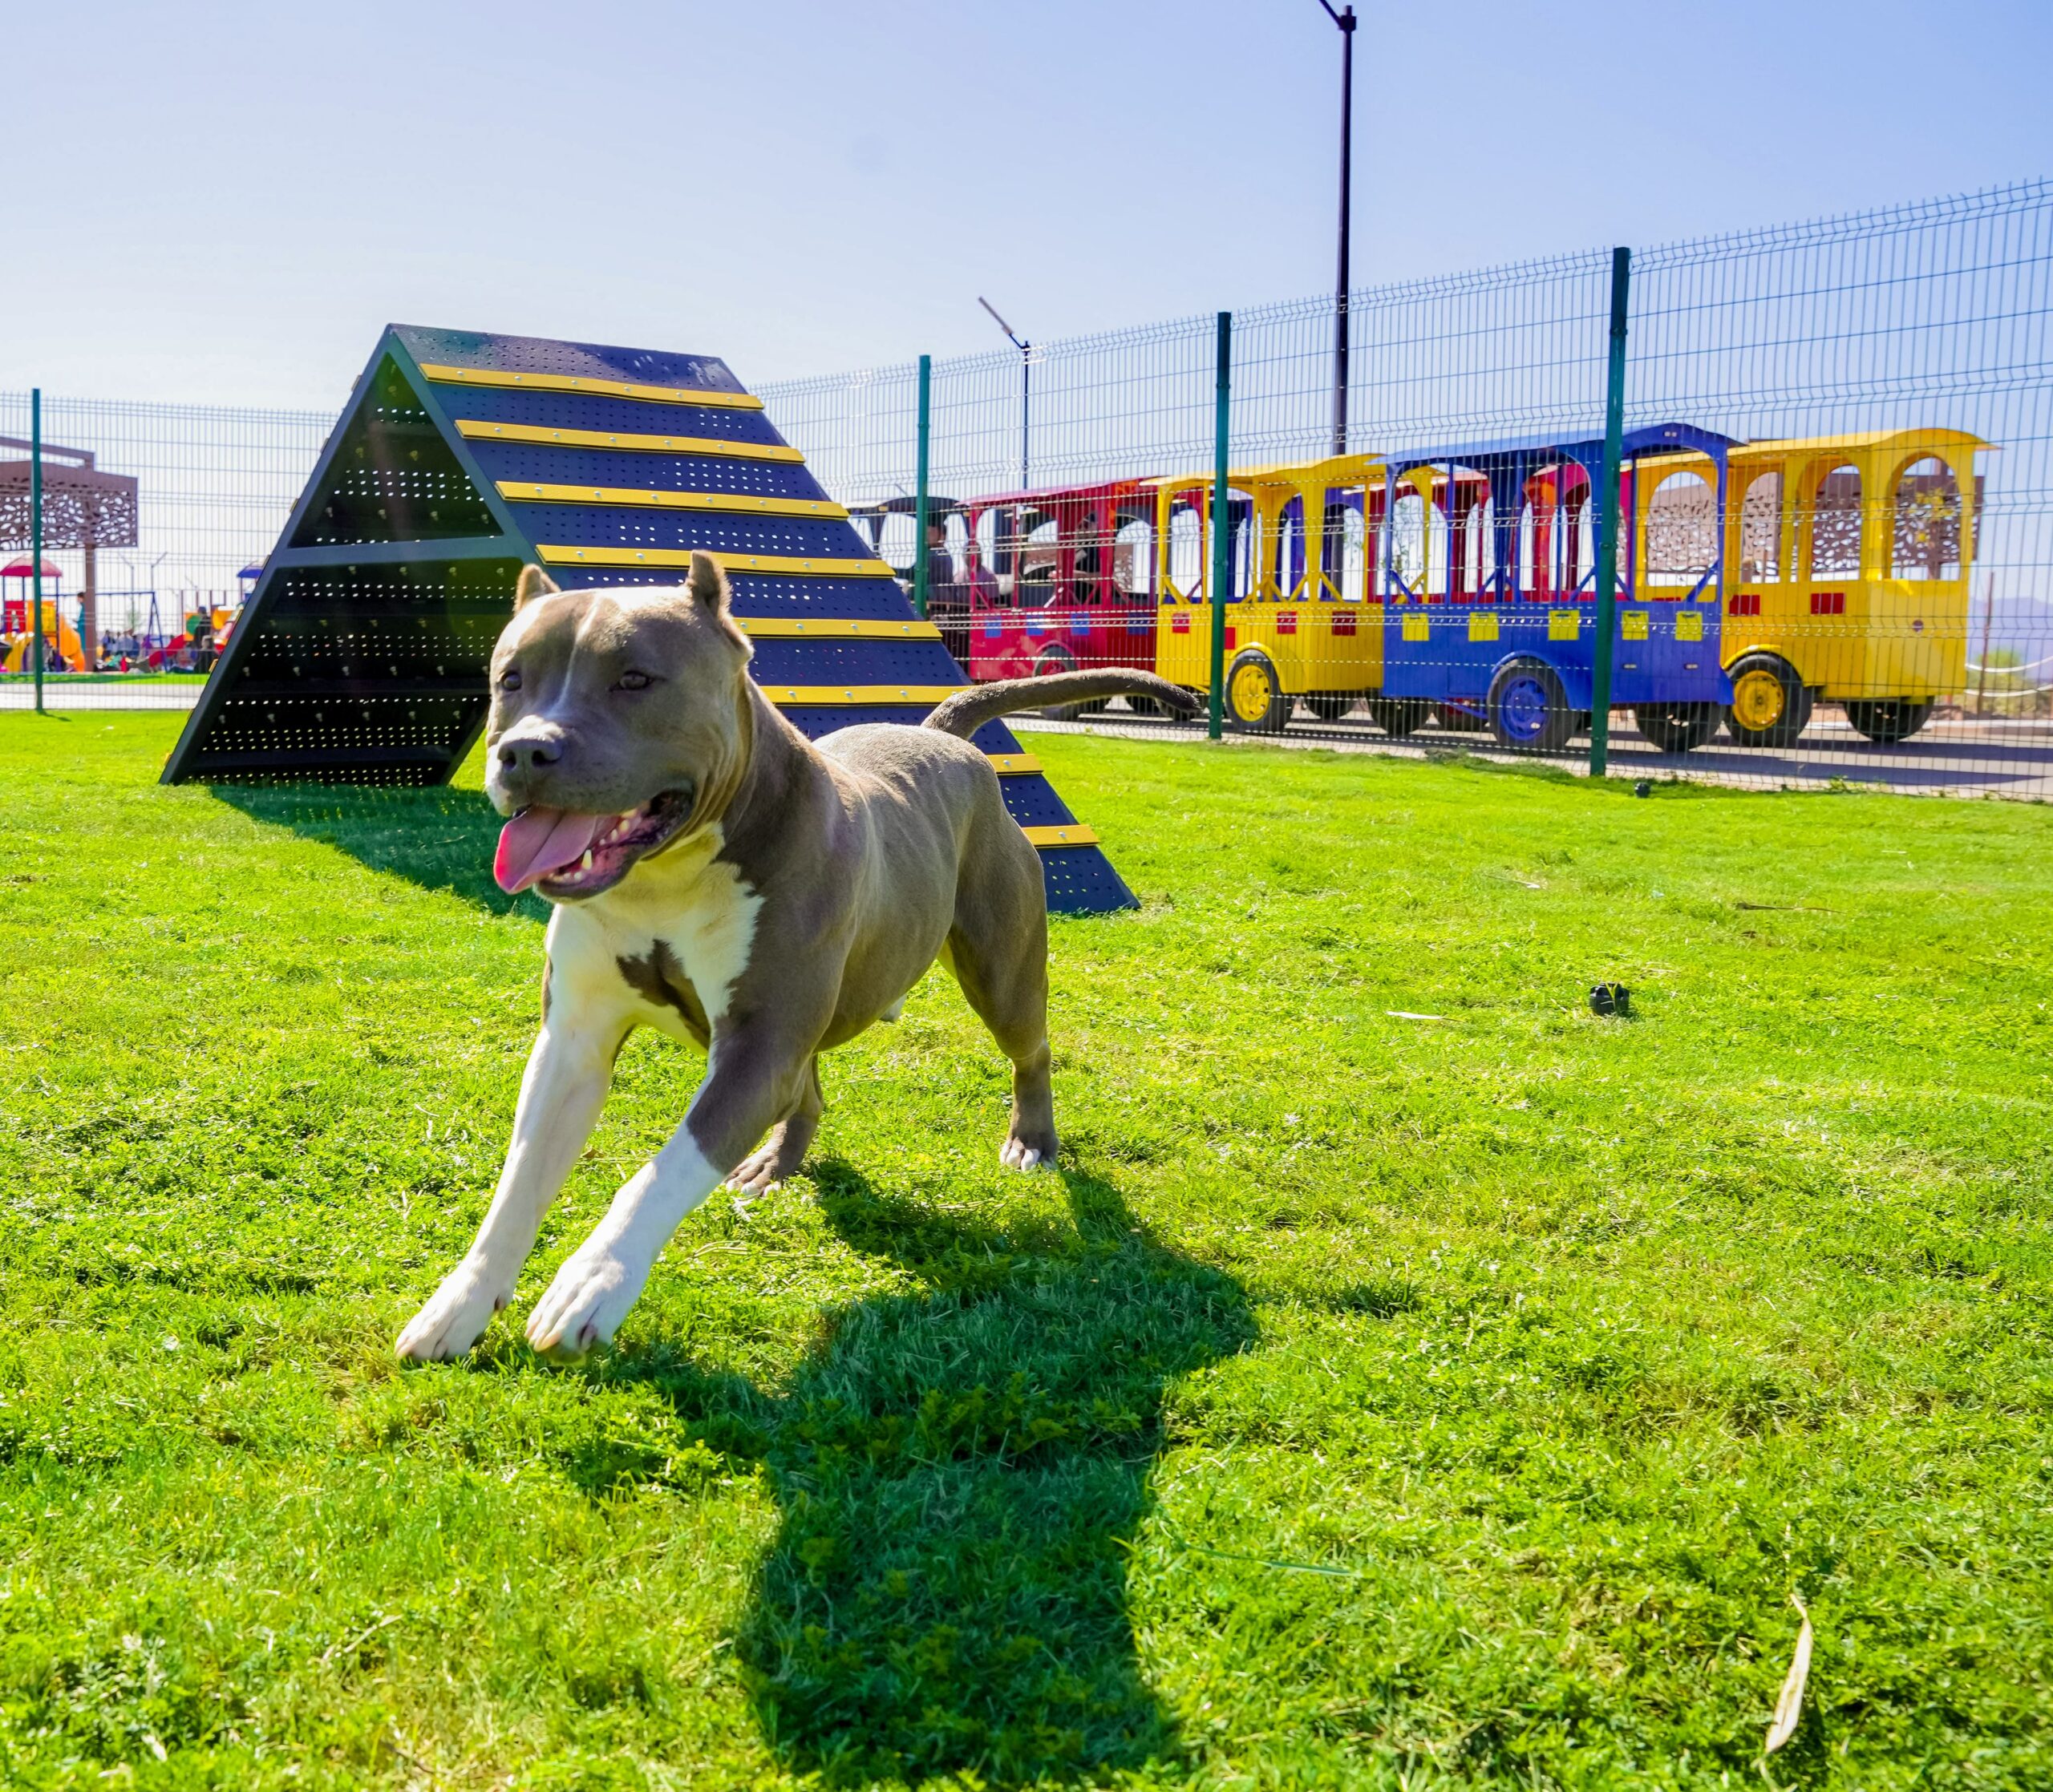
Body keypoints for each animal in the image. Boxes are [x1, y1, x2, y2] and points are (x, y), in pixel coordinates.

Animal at [396, 554, 1190, 1354]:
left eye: (635, 678)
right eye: (511, 678)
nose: (525, 749)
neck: (664, 880)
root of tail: (946, 736)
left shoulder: (757, 1048)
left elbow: (662, 1170)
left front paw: (595, 1279)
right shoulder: (575, 1045)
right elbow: (518, 1183)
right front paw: (460, 1301)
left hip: (1002, 973)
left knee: (1031, 1050)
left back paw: (1031, 1139)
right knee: (807, 1091)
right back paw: (777, 1163)